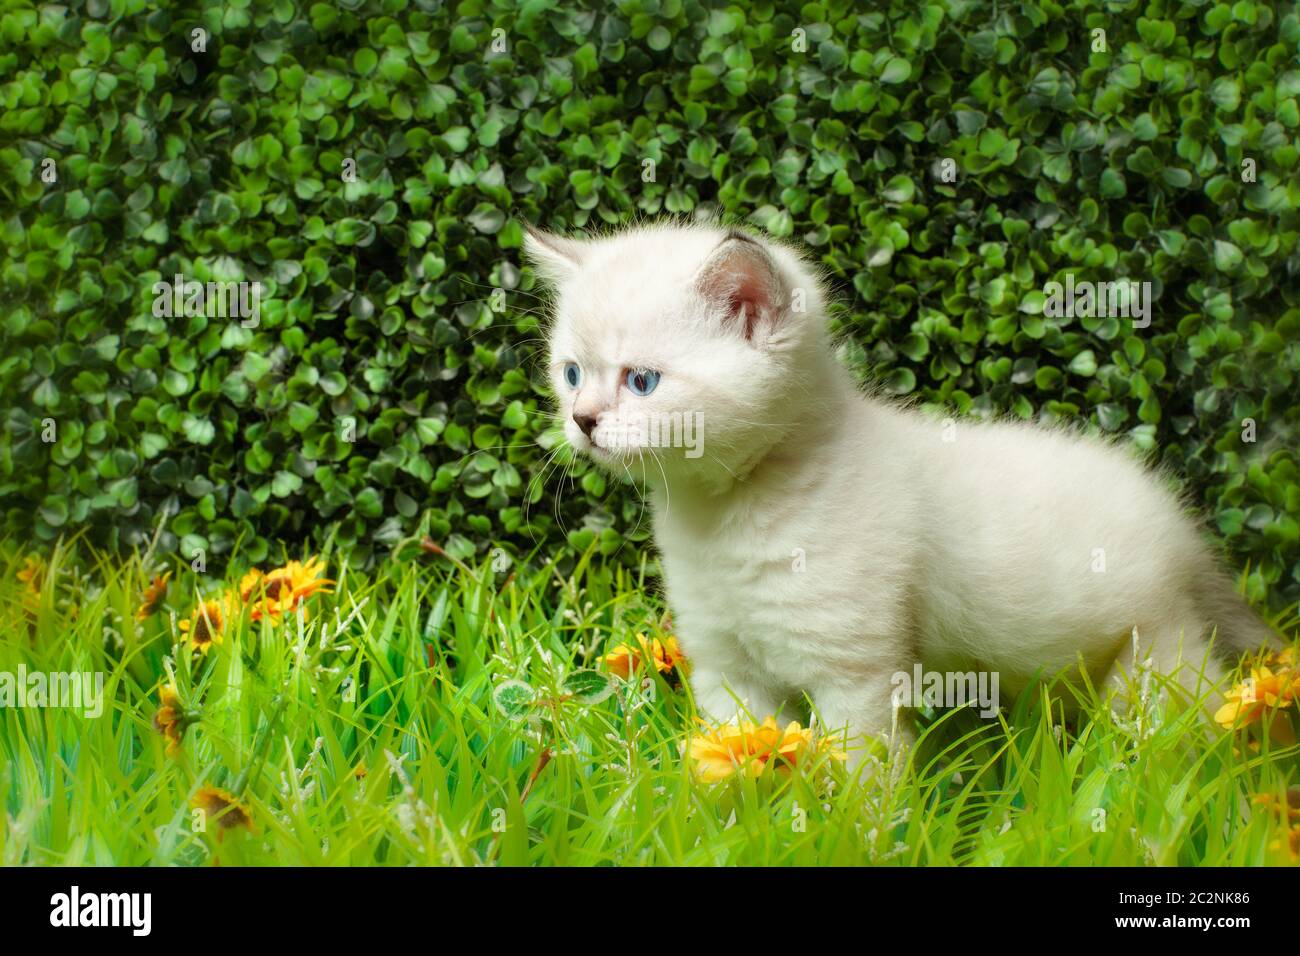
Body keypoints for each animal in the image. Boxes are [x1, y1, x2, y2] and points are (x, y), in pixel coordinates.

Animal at [522, 221, 1274, 764]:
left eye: (642, 381)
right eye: (571, 373)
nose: (581, 420)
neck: (723, 516)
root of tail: (1180, 524)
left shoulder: (853, 676)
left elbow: (865, 780)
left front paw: (856, 836)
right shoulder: (727, 670)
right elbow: (743, 754)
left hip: (1156, 660)